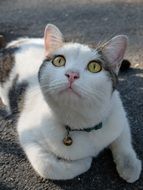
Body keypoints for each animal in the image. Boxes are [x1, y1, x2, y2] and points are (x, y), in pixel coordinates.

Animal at [0, 23, 141, 183]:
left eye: (94, 67)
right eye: (59, 61)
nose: (72, 74)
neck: (81, 124)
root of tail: (15, 43)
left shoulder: (118, 114)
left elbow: (124, 142)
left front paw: (130, 166)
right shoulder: (27, 132)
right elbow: (47, 166)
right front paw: (84, 161)